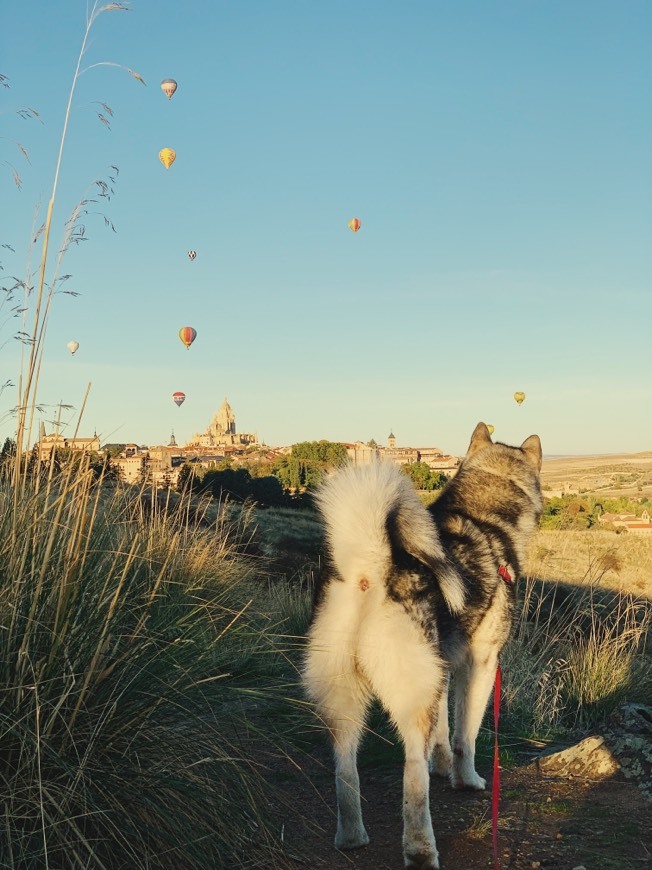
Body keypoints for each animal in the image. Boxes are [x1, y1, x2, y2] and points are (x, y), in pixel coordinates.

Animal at [304, 426, 544, 868]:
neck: (484, 513)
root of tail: (371, 569)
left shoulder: (443, 669)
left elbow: (445, 733)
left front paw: (443, 766)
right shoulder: (481, 664)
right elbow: (465, 735)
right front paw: (466, 780)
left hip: (345, 699)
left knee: (345, 768)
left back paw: (352, 836)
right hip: (412, 698)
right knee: (412, 773)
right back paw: (420, 849)